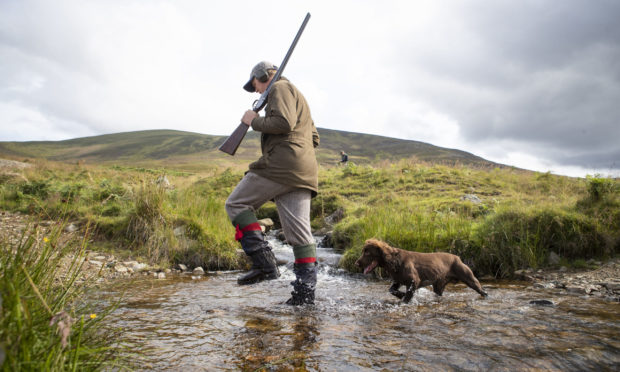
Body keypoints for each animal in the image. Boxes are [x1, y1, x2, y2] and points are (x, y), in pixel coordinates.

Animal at [356, 238, 486, 302]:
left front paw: (404, 298)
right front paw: (401, 294)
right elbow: (391, 290)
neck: (395, 262)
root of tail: (457, 257)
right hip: (438, 285)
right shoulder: (398, 281)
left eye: (367, 252)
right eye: (363, 251)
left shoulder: (414, 281)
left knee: (482, 291)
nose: (356, 263)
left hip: (469, 278)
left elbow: (406, 297)